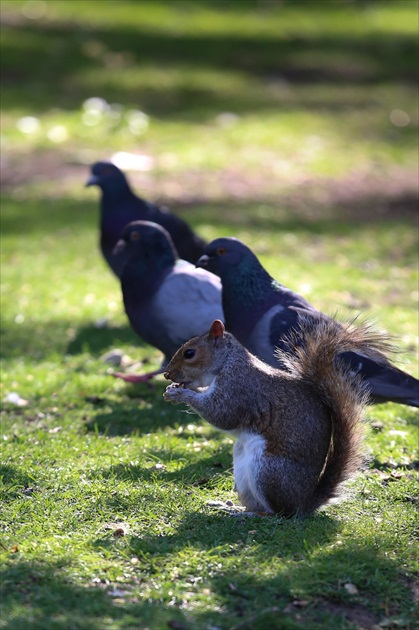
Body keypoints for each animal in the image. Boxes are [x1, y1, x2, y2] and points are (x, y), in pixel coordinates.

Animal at [162, 318, 392, 516]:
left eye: (189, 353)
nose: (167, 374)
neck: (228, 362)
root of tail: (304, 502)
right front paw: (175, 389)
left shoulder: (238, 388)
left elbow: (221, 414)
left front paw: (180, 394)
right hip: (244, 471)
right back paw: (230, 508)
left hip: (268, 470)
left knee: (279, 513)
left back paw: (248, 515)